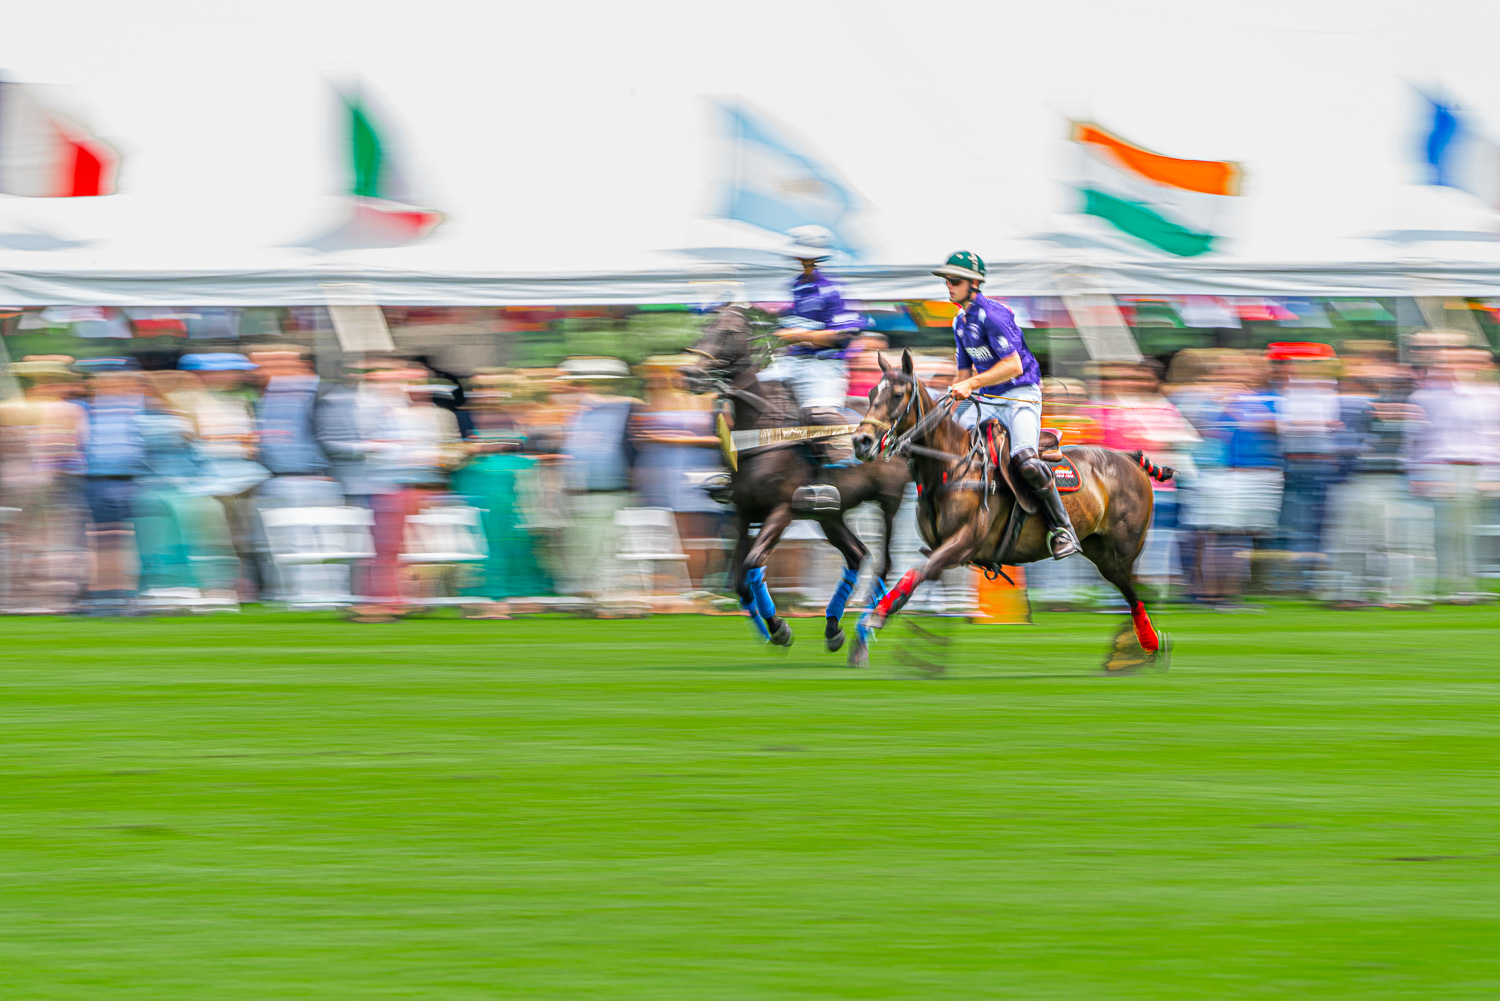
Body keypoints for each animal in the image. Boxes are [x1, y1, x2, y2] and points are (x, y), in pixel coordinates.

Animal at [684, 307, 912, 651]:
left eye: (728, 333)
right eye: (705, 327)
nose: (689, 374)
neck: (762, 428)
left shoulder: (782, 510)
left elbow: (752, 562)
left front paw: (779, 628)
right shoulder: (741, 511)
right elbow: (740, 580)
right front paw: (772, 627)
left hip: (889, 502)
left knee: (883, 563)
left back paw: (869, 622)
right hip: (830, 514)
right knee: (857, 555)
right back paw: (833, 628)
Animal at [846, 352, 1170, 672]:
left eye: (897, 395)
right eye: (871, 393)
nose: (861, 441)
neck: (949, 466)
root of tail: (1130, 458)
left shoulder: (963, 541)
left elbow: (913, 575)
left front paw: (868, 630)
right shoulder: (940, 548)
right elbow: (921, 584)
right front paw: (919, 651)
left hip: (1120, 550)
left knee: (1136, 593)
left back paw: (1141, 646)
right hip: (1099, 549)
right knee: (1137, 592)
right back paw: (1132, 651)